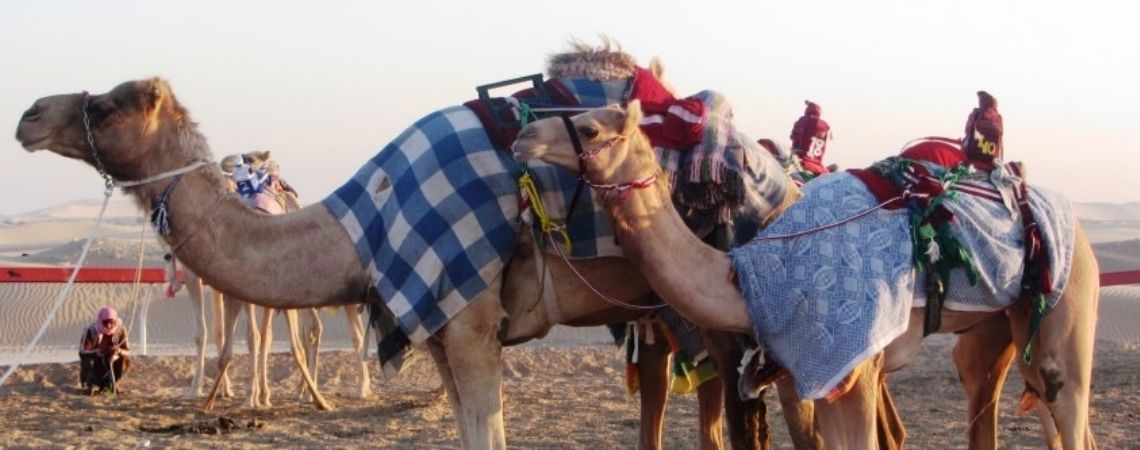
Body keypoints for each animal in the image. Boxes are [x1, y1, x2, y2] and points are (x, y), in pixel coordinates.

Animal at [11, 72, 766, 446]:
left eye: (108, 108)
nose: (29, 115)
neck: (362, 226)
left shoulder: (471, 322)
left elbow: (489, 432)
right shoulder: (437, 328)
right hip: (669, 311)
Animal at [513, 101, 1098, 450]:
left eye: (588, 127)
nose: (523, 136)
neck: (744, 273)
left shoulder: (853, 367)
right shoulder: (810, 375)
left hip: (1066, 302)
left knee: (1064, 401)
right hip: (1003, 326)